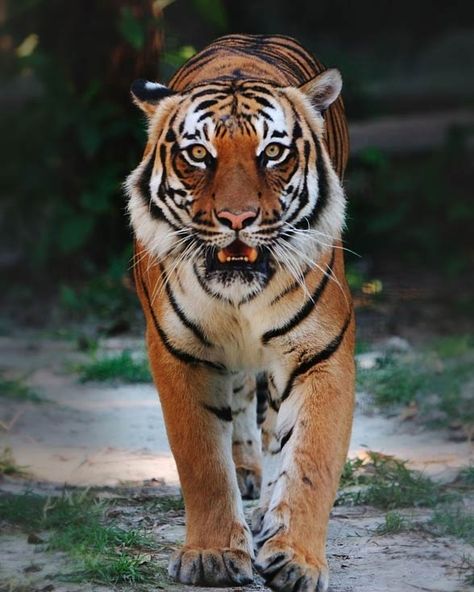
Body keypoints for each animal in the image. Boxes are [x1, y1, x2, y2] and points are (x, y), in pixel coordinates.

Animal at [126, 34, 356, 592]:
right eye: (198, 154)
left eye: (272, 152)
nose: (237, 218)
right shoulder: (181, 353)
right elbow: (203, 463)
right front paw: (212, 555)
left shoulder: (321, 352)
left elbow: (310, 460)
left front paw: (296, 558)